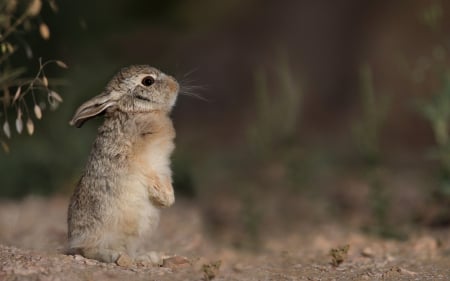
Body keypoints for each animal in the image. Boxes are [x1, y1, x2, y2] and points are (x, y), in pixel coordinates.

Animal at [67, 65, 179, 264]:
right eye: (148, 81)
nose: (176, 85)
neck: (138, 112)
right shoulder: (135, 159)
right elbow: (147, 173)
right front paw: (161, 196)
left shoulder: (163, 165)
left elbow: (165, 178)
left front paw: (167, 199)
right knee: (88, 250)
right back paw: (115, 256)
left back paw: (147, 257)